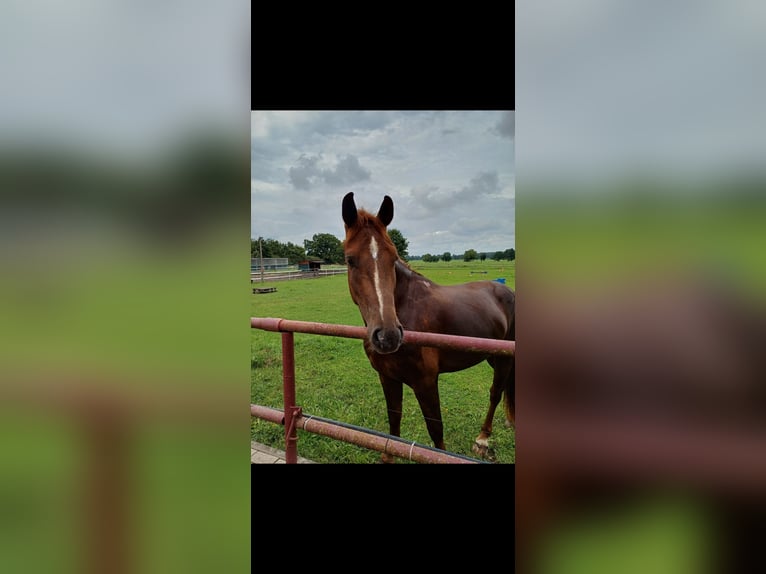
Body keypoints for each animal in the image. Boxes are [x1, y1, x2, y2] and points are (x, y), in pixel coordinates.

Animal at [341, 192, 515, 462]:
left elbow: (435, 430)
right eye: (350, 260)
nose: (388, 336)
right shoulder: (387, 377)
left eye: (393, 257)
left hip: (504, 358)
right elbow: (394, 420)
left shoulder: (426, 382)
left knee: (495, 392)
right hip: (490, 357)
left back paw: (483, 438)